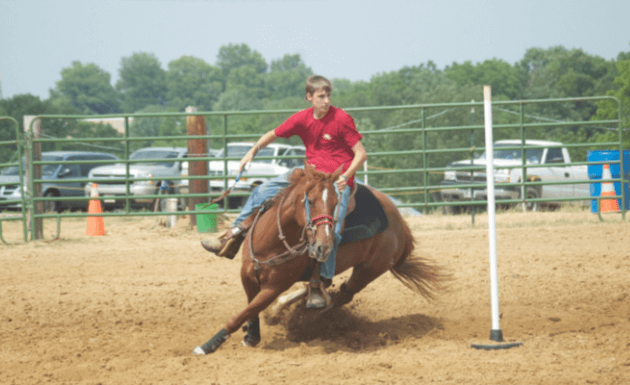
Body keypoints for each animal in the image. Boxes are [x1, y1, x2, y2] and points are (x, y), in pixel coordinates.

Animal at [193, 164, 444, 352]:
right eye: (310, 201)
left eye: (335, 204)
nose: (323, 245)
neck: (273, 241)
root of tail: (401, 224)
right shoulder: (247, 275)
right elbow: (250, 309)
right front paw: (252, 334)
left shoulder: (273, 287)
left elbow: (243, 312)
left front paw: (207, 346)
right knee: (322, 285)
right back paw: (281, 310)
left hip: (368, 270)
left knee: (341, 295)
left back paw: (305, 317)